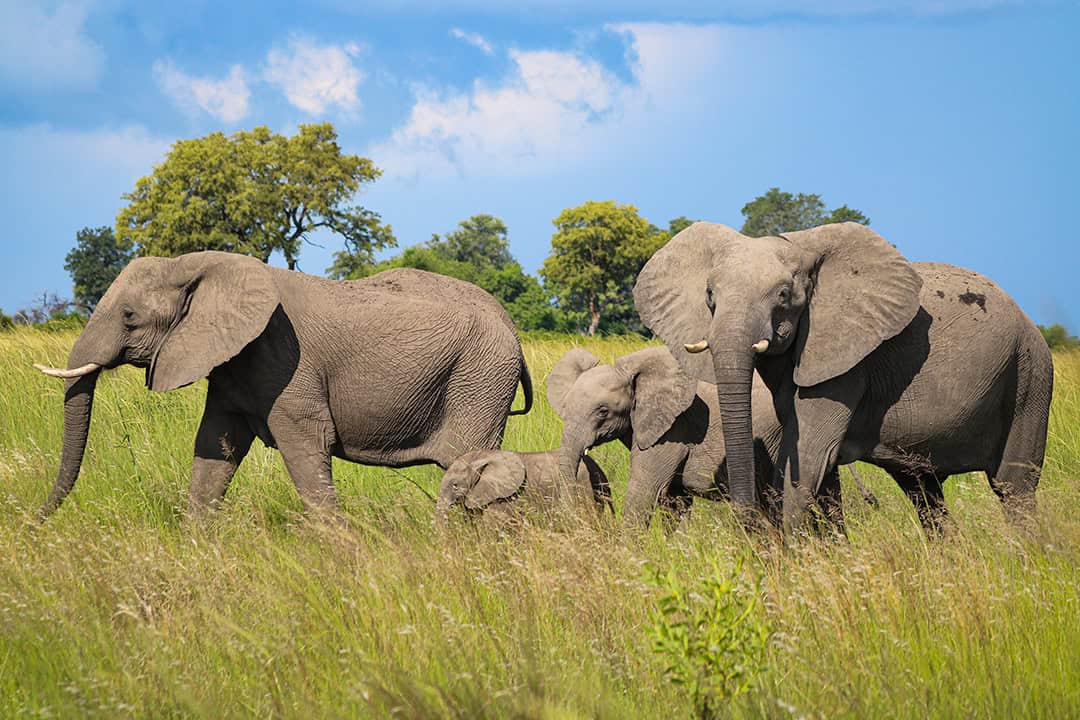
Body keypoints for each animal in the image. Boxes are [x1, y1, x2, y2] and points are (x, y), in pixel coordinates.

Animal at [33, 251, 533, 519]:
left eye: (130, 316)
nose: (35, 520)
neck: (198, 263)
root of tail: (512, 327)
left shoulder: (285, 363)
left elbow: (305, 446)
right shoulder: (233, 365)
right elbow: (214, 446)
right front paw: (196, 541)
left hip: (479, 379)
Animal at [634, 221, 1053, 534]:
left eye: (783, 295)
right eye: (709, 295)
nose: (746, 518)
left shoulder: (847, 364)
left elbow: (809, 458)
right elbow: (819, 470)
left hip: (1029, 374)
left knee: (1013, 487)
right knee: (924, 493)